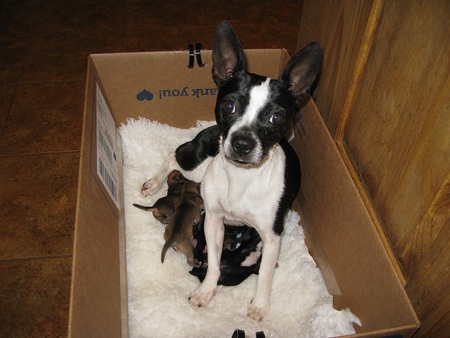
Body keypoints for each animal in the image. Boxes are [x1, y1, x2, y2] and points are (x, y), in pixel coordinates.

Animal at [142, 19, 322, 320]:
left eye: (277, 117)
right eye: (229, 105)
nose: (242, 142)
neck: (242, 177)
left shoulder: (272, 237)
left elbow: (263, 275)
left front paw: (259, 305)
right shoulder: (213, 220)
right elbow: (214, 262)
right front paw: (206, 291)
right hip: (198, 164)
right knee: (174, 156)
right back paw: (153, 183)